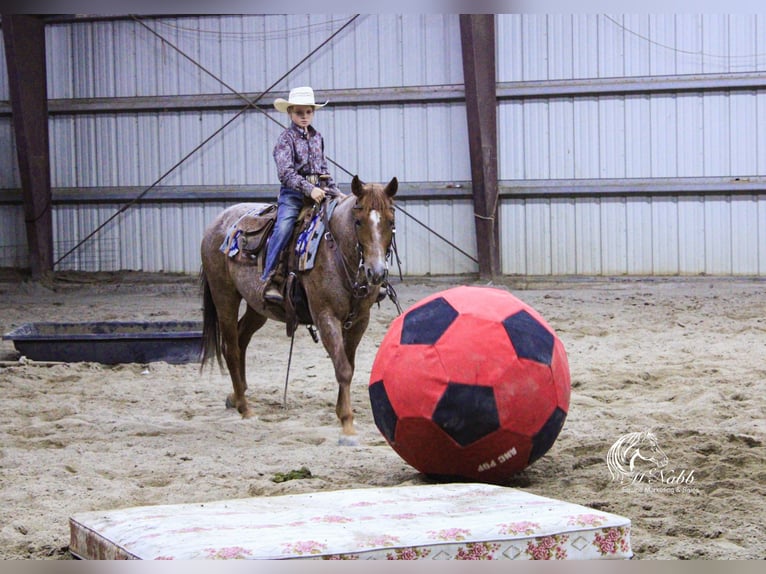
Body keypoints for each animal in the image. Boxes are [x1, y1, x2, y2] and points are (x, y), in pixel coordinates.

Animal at [201, 178, 400, 448]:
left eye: (391, 221)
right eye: (358, 221)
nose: (376, 272)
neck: (336, 250)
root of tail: (218, 222)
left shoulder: (360, 320)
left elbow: (348, 364)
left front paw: (343, 414)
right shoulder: (326, 317)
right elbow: (343, 368)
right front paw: (347, 426)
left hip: (257, 306)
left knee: (241, 340)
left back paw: (236, 395)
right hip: (225, 296)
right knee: (230, 347)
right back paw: (245, 408)